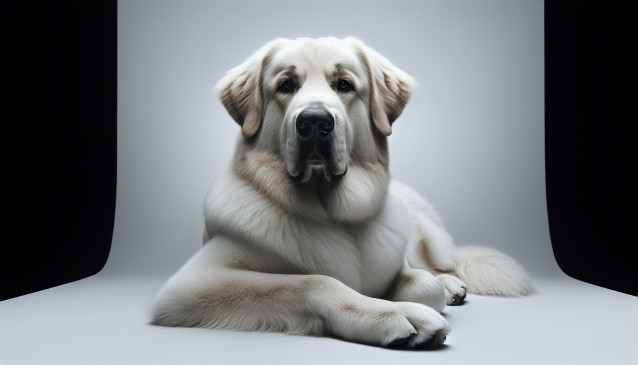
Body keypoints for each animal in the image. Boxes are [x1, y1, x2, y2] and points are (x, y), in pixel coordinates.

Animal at [151, 37, 536, 350]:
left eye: (344, 85)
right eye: (286, 85)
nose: (314, 122)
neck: (332, 213)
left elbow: (423, 284)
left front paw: (421, 295)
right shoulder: (192, 282)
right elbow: (312, 283)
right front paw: (396, 315)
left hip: (426, 235)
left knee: (442, 265)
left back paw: (453, 285)